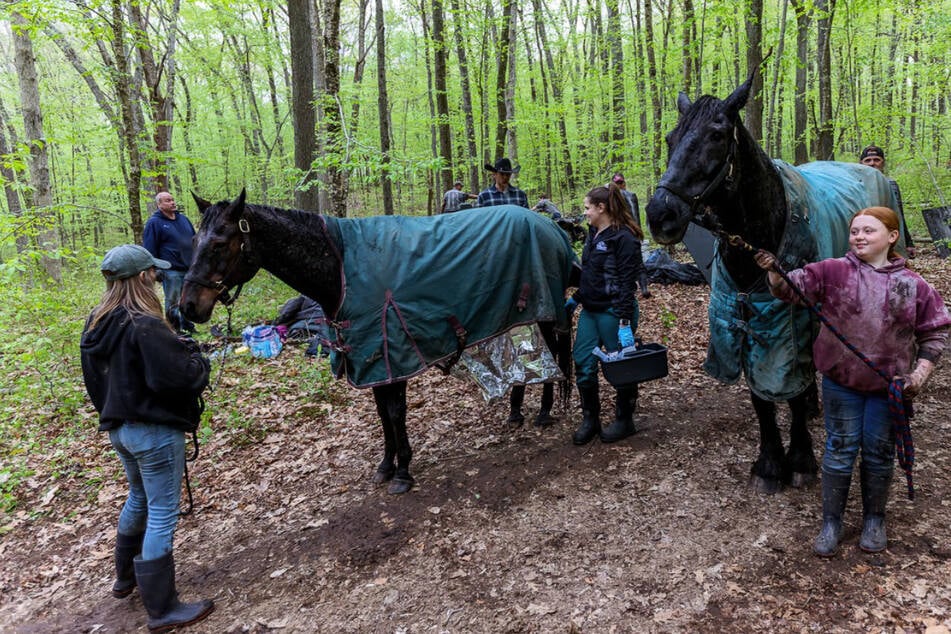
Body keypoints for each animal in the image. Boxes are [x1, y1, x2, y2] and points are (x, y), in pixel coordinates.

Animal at [181, 191, 576, 494]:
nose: (186, 307)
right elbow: (382, 414)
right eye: (193, 242)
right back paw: (516, 411)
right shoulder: (368, 360)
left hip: (546, 312)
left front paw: (403, 472)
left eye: (219, 243)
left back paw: (543, 412)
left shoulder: (392, 355)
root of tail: (550, 226)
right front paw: (386, 466)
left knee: (554, 355)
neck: (341, 269)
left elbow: (395, 412)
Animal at [648, 75, 900, 494]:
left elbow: (792, 391)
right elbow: (761, 397)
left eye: (717, 135)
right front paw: (769, 462)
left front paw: (799, 459)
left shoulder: (789, 321)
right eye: (670, 137)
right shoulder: (746, 320)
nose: (659, 215)